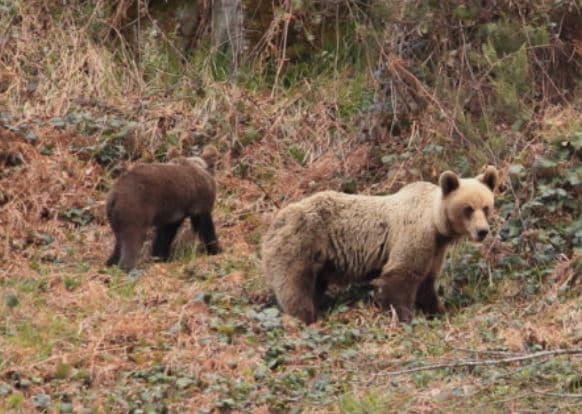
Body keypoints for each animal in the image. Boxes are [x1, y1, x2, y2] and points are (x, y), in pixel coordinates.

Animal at [262, 165, 500, 324]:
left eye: (486, 207)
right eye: (468, 208)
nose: (482, 231)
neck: (436, 226)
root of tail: (274, 223)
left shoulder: (435, 250)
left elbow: (426, 282)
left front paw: (439, 309)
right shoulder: (414, 236)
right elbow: (400, 276)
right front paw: (404, 316)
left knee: (313, 285)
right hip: (301, 243)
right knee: (295, 287)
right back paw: (307, 317)